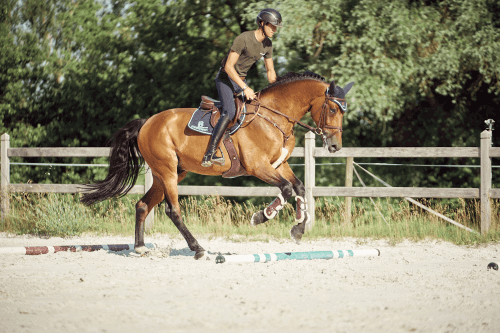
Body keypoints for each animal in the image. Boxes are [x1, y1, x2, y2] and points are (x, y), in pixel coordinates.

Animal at [82, 72, 354, 260]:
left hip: (169, 174)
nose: (334, 146)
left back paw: (139, 247)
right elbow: (287, 189)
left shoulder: (280, 164)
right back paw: (198, 249)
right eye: (332, 109)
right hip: (167, 172)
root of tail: (147, 122)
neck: (274, 116)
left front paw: (298, 228)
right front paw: (260, 217)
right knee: (173, 210)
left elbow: (298, 188)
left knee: (142, 205)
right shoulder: (258, 166)